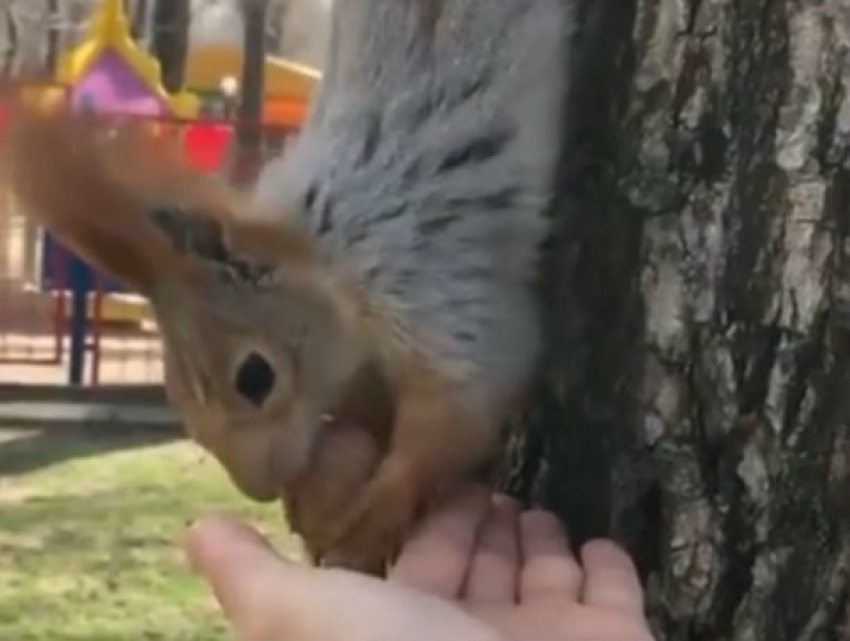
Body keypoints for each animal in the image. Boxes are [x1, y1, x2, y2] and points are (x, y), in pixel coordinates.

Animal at [1, 0, 568, 572]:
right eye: (175, 393)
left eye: (256, 378)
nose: (262, 491)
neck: (329, 264)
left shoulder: (433, 294)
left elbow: (463, 406)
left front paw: (377, 513)